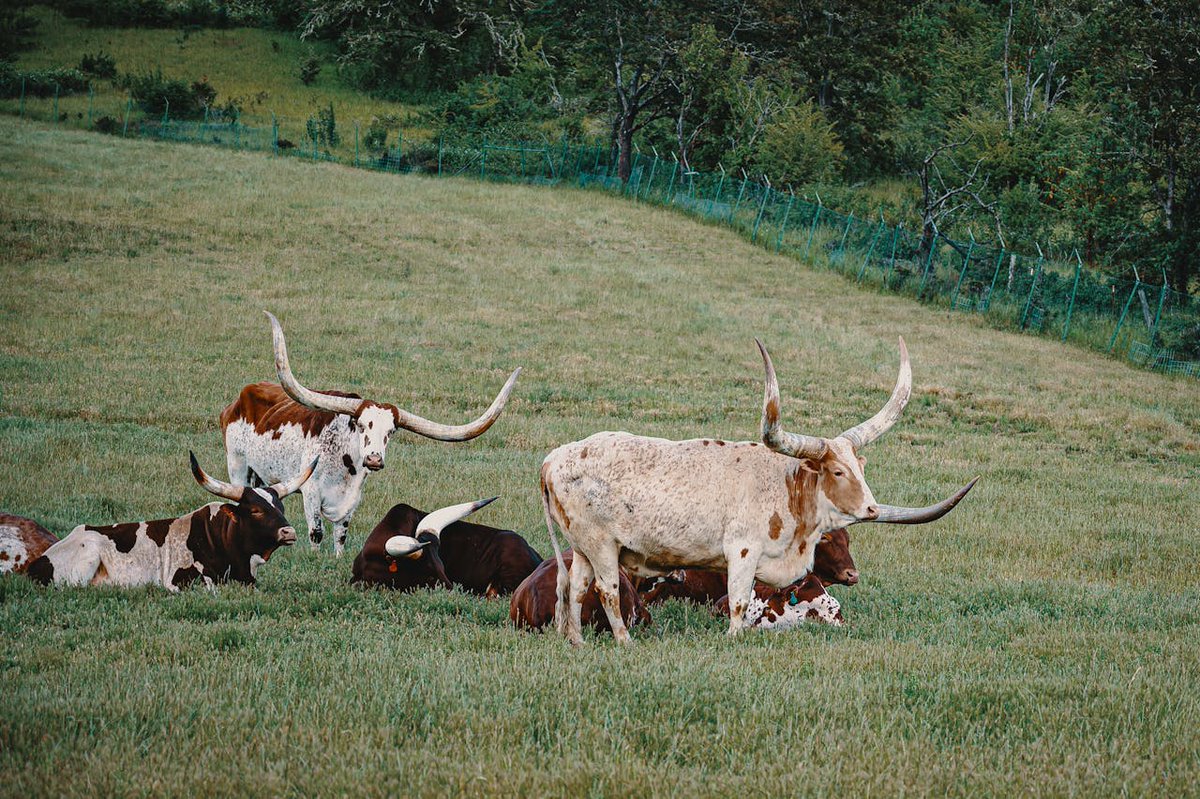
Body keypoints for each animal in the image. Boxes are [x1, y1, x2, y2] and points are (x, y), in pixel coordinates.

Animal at [220, 312, 521, 556]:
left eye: (392, 431)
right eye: (361, 425)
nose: (374, 459)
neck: (342, 462)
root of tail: (240, 397)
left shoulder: (352, 500)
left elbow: (340, 536)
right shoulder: (310, 492)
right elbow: (316, 533)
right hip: (237, 465)